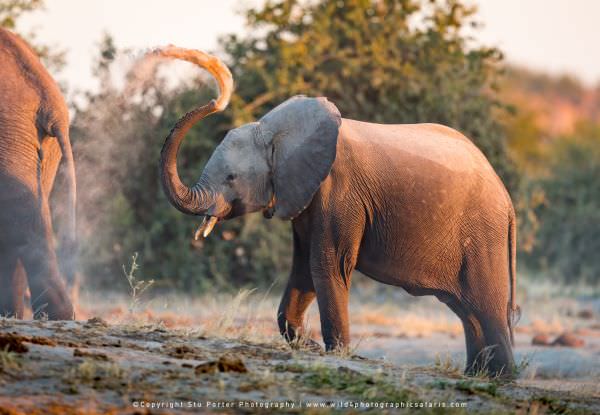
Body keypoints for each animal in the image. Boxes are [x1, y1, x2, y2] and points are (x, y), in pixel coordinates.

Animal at [155, 47, 520, 378]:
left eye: (231, 178)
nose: (217, 98)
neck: (276, 132)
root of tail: (507, 200)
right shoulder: (305, 194)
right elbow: (303, 267)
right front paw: (309, 346)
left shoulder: (339, 191)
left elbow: (326, 263)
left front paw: (336, 353)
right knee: (468, 312)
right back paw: (478, 375)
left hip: (482, 233)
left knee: (485, 307)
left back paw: (501, 378)